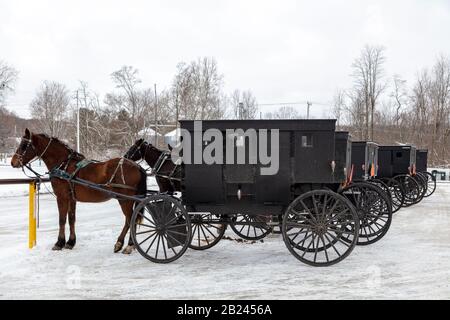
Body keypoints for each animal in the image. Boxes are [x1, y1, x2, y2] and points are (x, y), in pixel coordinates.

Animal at [11, 129, 147, 254]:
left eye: (24, 145)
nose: (13, 162)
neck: (64, 166)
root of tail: (137, 166)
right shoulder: (72, 199)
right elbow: (71, 219)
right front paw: (70, 242)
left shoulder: (62, 197)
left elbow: (62, 219)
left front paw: (59, 243)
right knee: (130, 220)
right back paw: (123, 244)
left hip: (125, 199)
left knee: (130, 220)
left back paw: (128, 245)